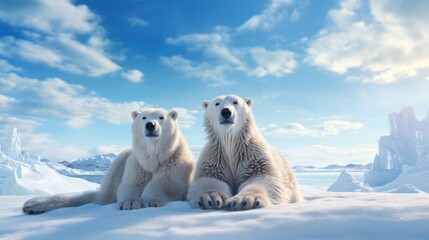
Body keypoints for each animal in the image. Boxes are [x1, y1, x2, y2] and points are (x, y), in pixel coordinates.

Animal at [24, 108, 195, 214]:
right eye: (143, 117)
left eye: (161, 117)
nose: (150, 125)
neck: (153, 157)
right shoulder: (136, 163)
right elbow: (130, 184)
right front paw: (131, 202)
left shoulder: (175, 160)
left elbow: (166, 182)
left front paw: (150, 200)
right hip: (121, 160)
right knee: (103, 195)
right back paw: (32, 204)